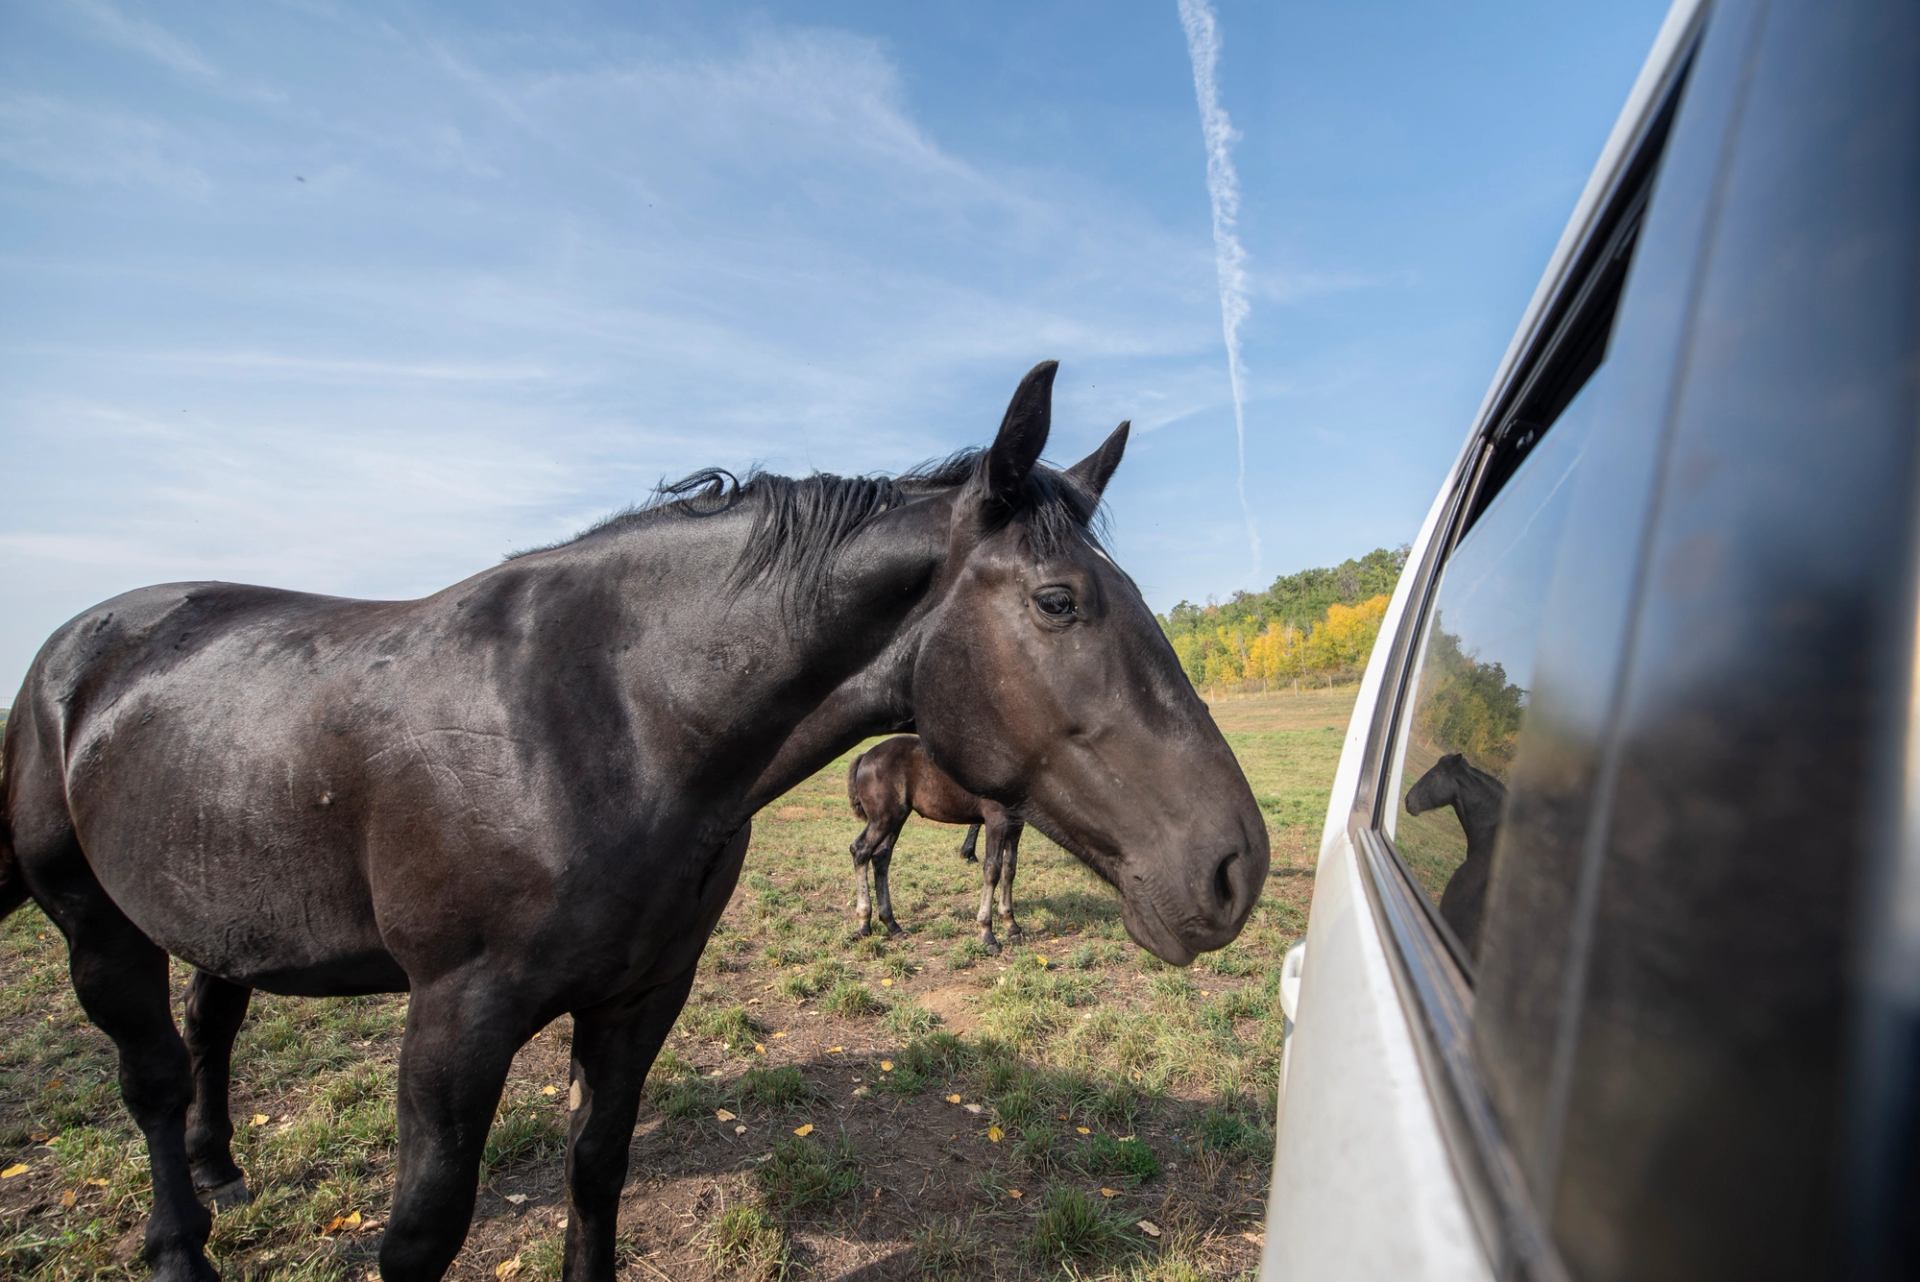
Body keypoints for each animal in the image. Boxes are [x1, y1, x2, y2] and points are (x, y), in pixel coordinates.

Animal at [846, 735, 1025, 949]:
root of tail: (865, 756)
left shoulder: (1016, 823)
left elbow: (1009, 869)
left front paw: (1012, 926)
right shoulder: (995, 819)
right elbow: (992, 870)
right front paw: (987, 935)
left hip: (897, 818)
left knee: (881, 857)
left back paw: (892, 925)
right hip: (883, 818)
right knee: (860, 850)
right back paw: (864, 924)